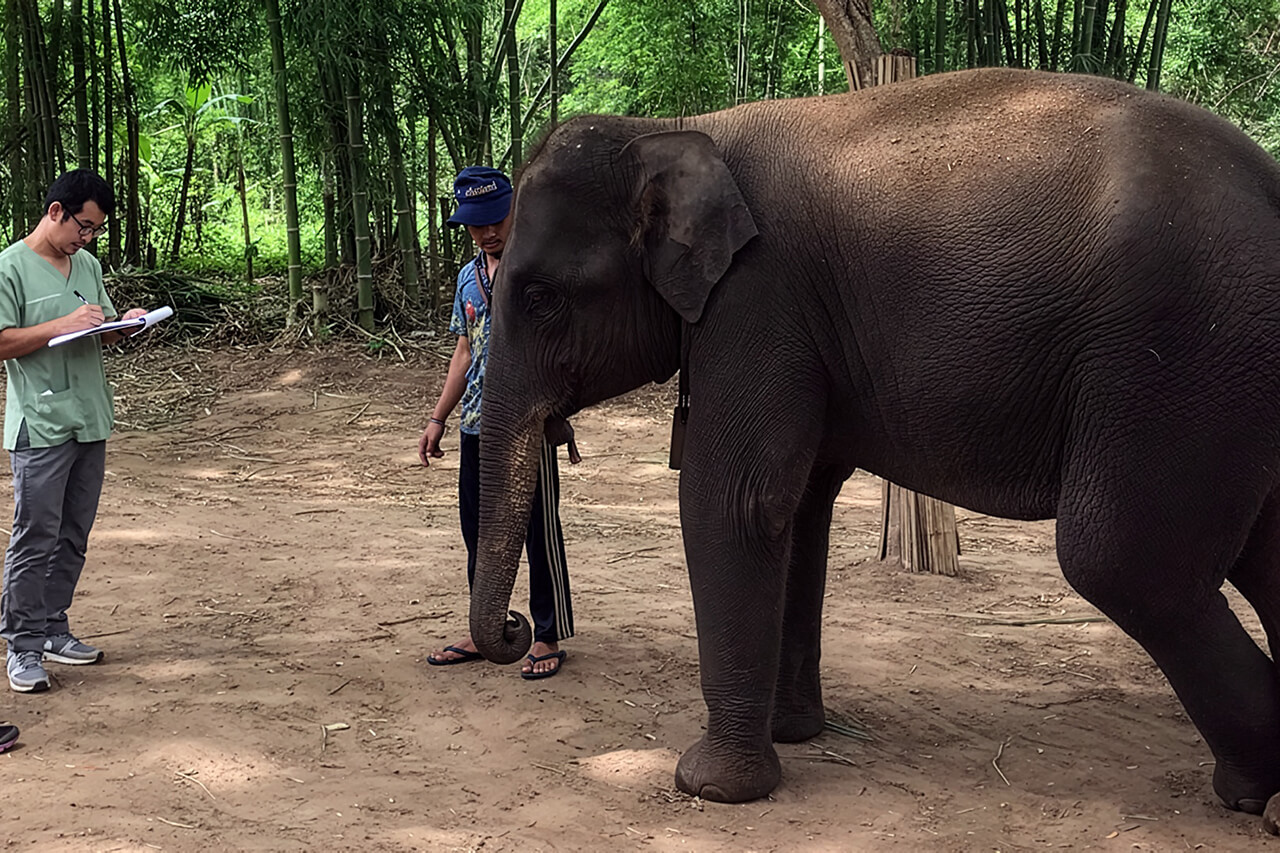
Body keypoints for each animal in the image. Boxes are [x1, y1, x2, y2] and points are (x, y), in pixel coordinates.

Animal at [465, 66, 1280, 831]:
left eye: (540, 297)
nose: (514, 631)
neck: (678, 130)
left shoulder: (759, 300)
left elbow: (735, 500)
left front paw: (711, 786)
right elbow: (799, 508)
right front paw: (794, 735)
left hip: (1179, 356)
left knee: (1124, 559)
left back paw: (1255, 792)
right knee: (1256, 552)